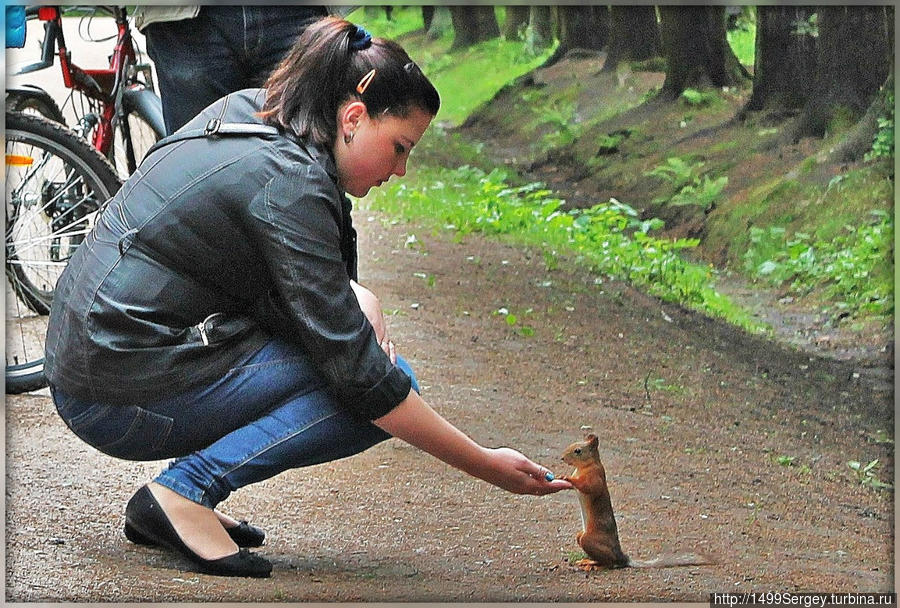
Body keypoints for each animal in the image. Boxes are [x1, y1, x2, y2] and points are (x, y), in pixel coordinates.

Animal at [560, 434, 712, 572]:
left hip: (589, 540)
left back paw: (595, 565)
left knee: (610, 563)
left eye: (578, 451)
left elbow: (589, 486)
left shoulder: (596, 476)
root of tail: (622, 557)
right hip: (581, 536)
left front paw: (567, 478)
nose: (562, 458)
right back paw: (588, 561)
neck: (584, 467)